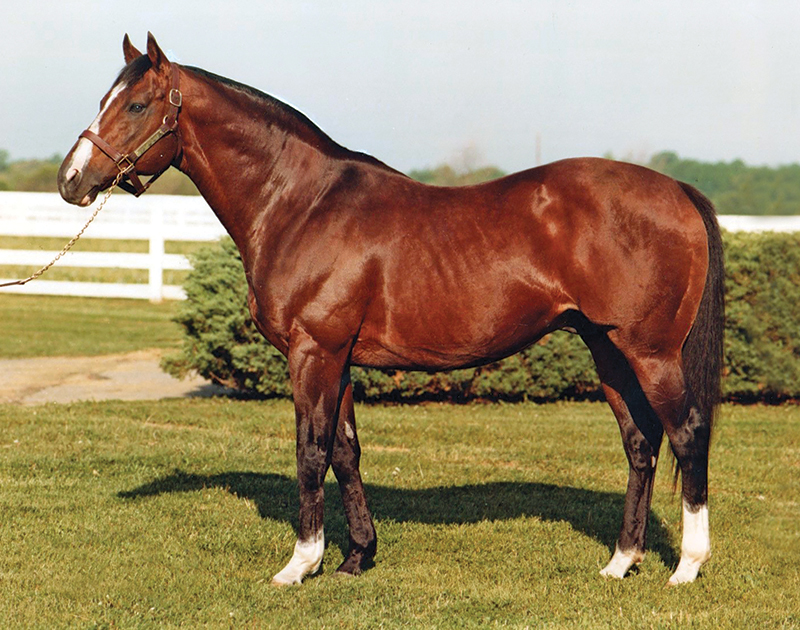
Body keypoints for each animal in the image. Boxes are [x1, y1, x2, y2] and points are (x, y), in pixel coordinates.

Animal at [58, 33, 724, 586]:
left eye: (137, 105)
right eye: (104, 99)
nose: (71, 180)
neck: (303, 204)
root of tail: (676, 190)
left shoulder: (314, 353)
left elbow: (310, 452)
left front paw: (300, 565)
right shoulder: (340, 358)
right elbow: (345, 452)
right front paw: (356, 556)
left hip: (650, 352)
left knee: (687, 434)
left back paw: (687, 567)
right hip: (606, 347)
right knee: (641, 442)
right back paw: (620, 562)